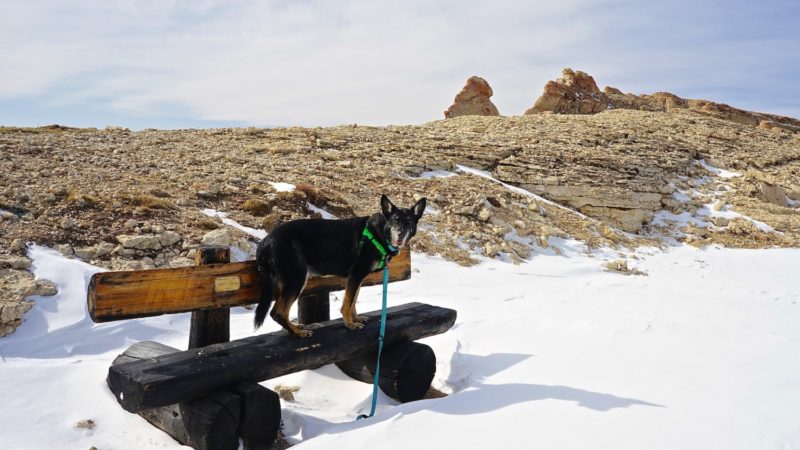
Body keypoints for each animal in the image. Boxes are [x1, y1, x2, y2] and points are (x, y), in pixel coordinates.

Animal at [255, 193, 424, 338]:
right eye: (395, 219)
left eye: (409, 221)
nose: (401, 233)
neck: (380, 233)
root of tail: (266, 241)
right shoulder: (356, 274)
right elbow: (347, 303)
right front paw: (349, 324)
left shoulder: (357, 278)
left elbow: (353, 300)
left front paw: (356, 318)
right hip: (297, 279)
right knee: (277, 312)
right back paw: (298, 333)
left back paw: (296, 327)